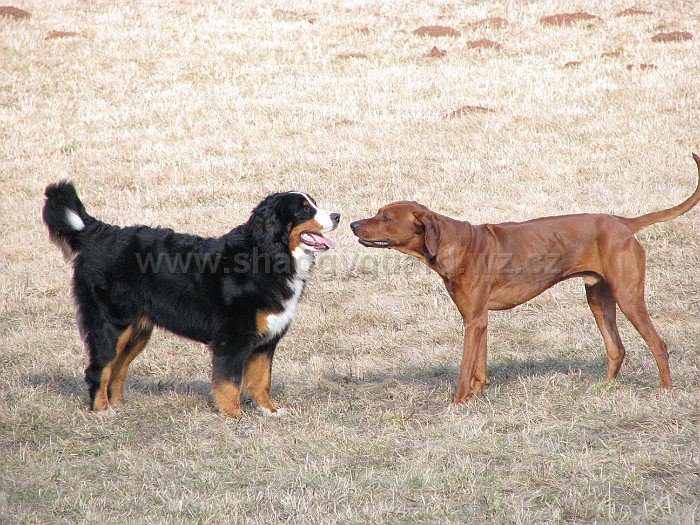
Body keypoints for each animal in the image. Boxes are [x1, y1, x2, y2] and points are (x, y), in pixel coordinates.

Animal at [43, 184, 340, 418]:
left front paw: (270, 411)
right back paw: (102, 411)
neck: (266, 254)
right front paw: (234, 415)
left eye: (313, 203)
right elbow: (230, 381)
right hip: (112, 325)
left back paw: (117, 406)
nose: (337, 215)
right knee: (99, 368)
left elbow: (261, 381)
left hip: (137, 331)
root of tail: (98, 232)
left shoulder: (265, 340)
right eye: (304, 210)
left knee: (117, 369)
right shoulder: (233, 337)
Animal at [352, 155, 700, 402]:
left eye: (385, 217)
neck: (454, 242)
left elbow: (465, 368)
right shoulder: (478, 319)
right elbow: (479, 365)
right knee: (617, 349)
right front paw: (476, 397)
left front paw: (458, 403)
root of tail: (624, 222)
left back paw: (665, 391)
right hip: (598, 298)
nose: (353, 224)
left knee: (658, 344)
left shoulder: (473, 320)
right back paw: (603, 389)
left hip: (628, 297)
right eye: (378, 212)